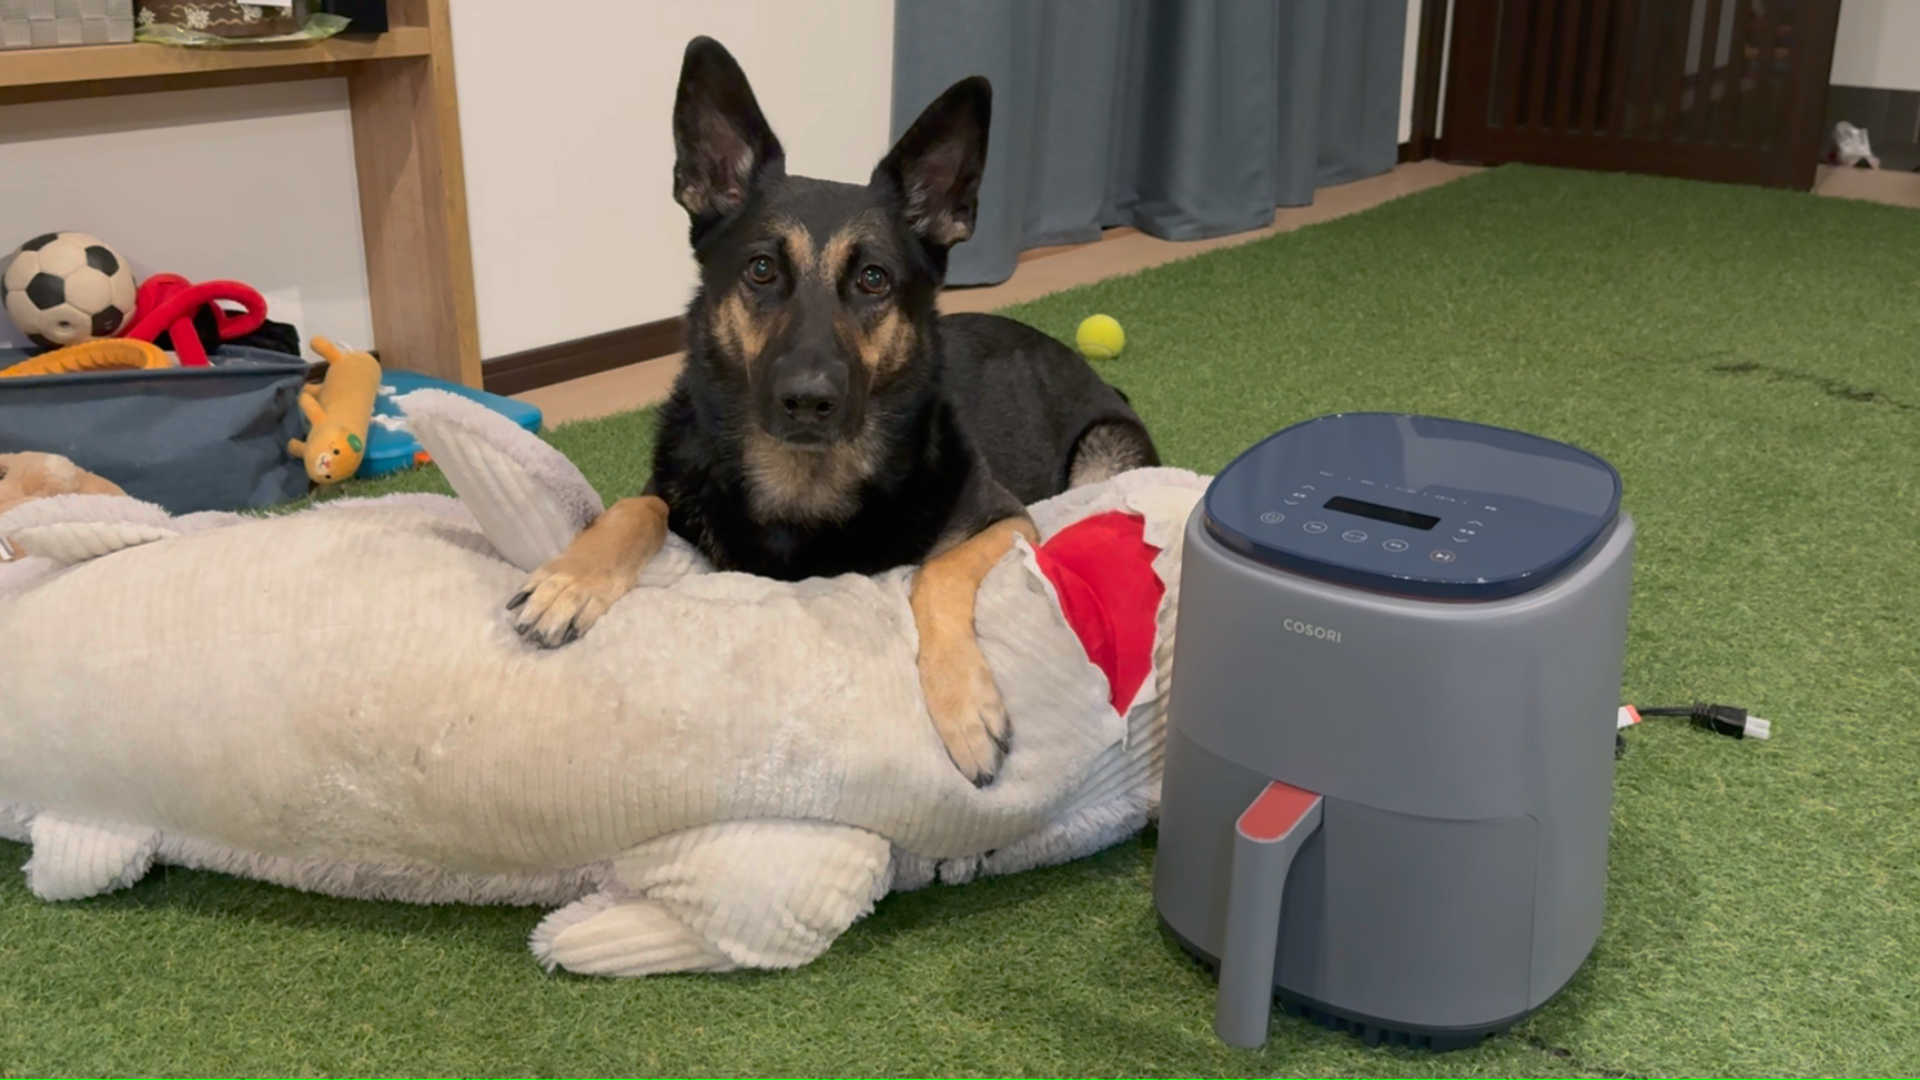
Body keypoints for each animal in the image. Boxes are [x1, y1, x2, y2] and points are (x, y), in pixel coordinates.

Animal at [507, 37, 1159, 787]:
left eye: (873, 279)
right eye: (761, 269)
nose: (808, 401)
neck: (803, 482)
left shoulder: (1006, 519)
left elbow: (935, 572)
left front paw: (966, 706)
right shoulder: (671, 483)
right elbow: (635, 507)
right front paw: (570, 578)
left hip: (1103, 450)